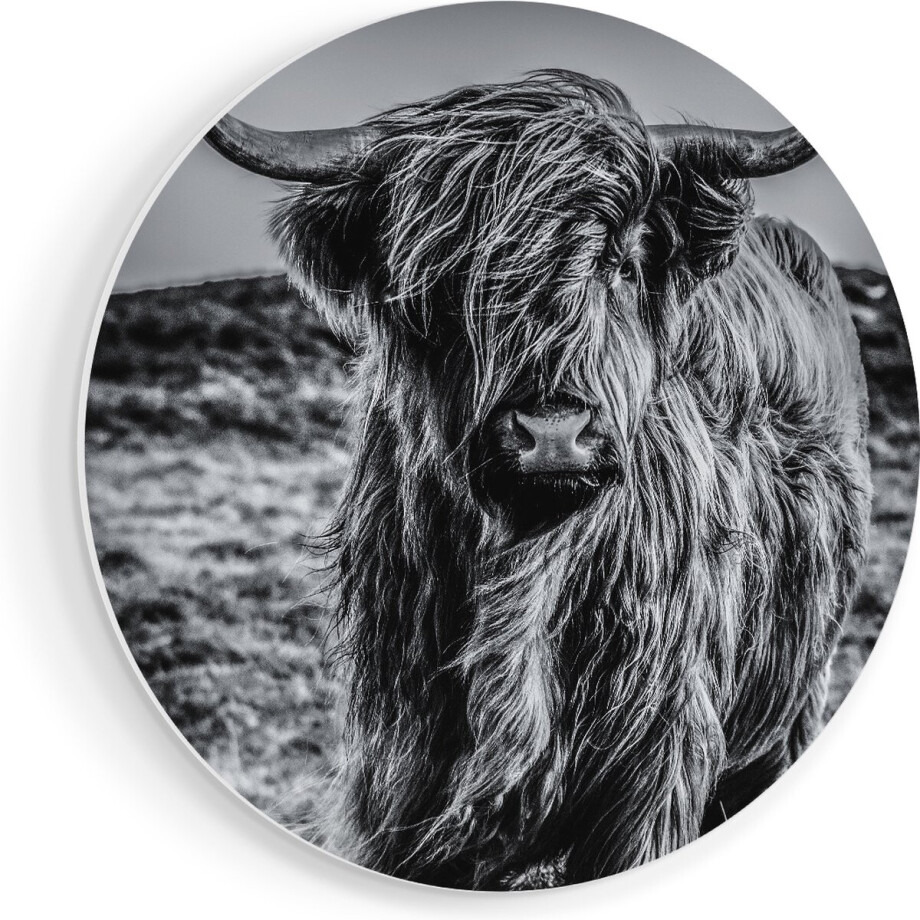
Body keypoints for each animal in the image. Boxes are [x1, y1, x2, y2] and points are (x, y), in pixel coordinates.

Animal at [205, 71, 871, 888]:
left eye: (621, 262)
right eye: (446, 279)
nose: (553, 434)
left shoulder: (657, 761)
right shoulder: (401, 772)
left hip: (795, 701)